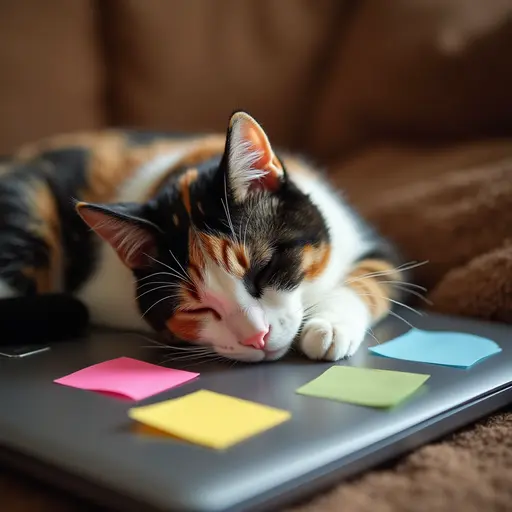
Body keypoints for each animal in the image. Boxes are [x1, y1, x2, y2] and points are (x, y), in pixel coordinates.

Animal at [0, 110, 408, 362]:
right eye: (196, 308)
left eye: (264, 269)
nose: (256, 336)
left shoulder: (369, 240)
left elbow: (371, 275)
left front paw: (330, 326)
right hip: (24, 203)